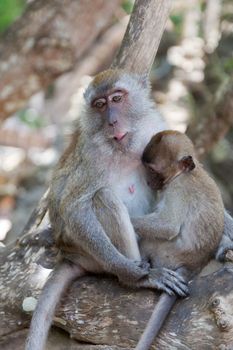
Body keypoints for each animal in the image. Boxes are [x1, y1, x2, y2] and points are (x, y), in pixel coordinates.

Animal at [134, 131, 225, 350]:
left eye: (152, 170)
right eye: (146, 169)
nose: (148, 181)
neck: (185, 173)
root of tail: (193, 267)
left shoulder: (177, 190)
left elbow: (168, 226)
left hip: (166, 255)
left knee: (153, 239)